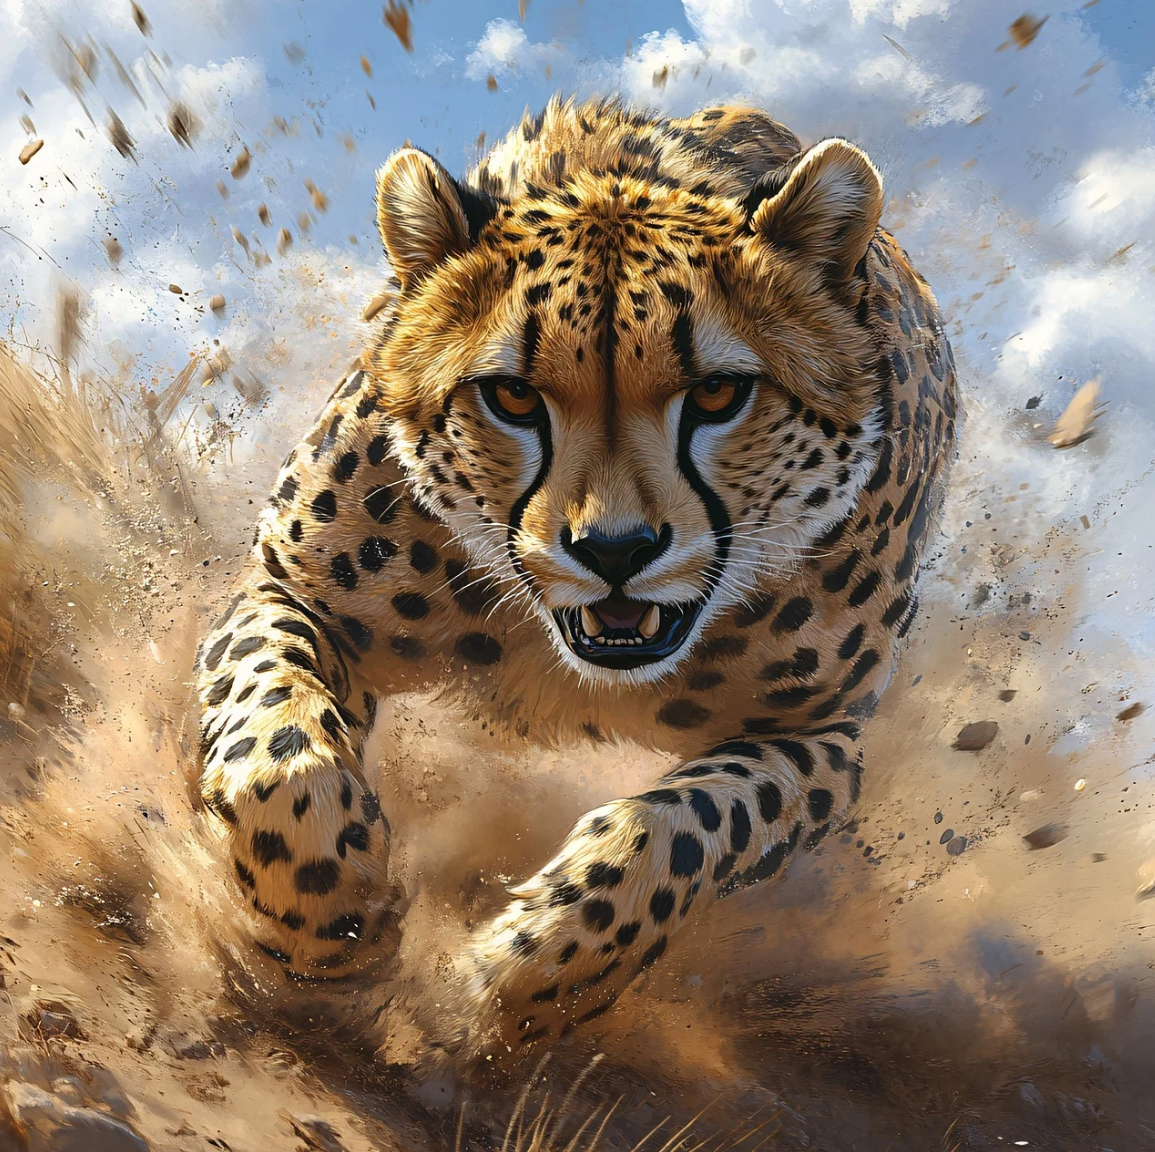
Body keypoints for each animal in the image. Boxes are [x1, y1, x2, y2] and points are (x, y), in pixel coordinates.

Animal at [194, 95, 958, 1058]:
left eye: (718, 395)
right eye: (512, 397)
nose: (615, 551)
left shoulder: (823, 735)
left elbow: (687, 825)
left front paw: (527, 978)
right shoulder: (287, 587)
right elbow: (273, 742)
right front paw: (328, 913)